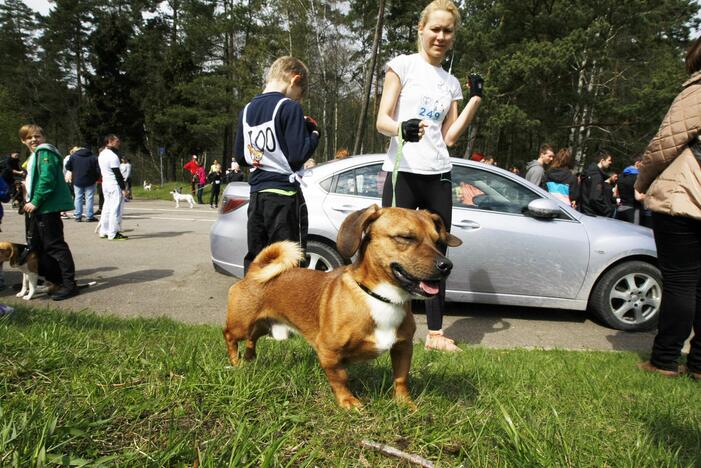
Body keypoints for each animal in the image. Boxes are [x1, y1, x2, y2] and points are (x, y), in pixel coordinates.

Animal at [223, 203, 460, 408]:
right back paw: (235, 363)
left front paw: (405, 403)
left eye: (437, 241)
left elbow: (401, 378)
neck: (381, 298)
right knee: (230, 336)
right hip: (241, 324)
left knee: (252, 338)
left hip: (263, 324)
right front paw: (348, 402)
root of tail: (255, 270)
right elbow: (340, 378)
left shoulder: (403, 347)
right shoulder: (328, 352)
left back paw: (250, 358)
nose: (447, 265)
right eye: (405, 237)